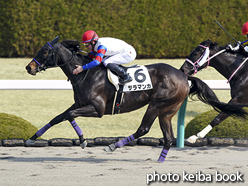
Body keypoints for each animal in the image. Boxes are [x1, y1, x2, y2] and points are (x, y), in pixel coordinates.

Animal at [25, 37, 246, 162]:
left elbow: (70, 115)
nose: (29, 67)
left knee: (144, 129)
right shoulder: (79, 103)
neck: (85, 74)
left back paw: (113, 146)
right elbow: (58, 117)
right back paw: (160, 161)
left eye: (45, 51)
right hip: (168, 110)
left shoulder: (97, 109)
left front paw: (82, 141)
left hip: (157, 104)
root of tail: (184, 76)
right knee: (168, 138)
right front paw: (32, 137)